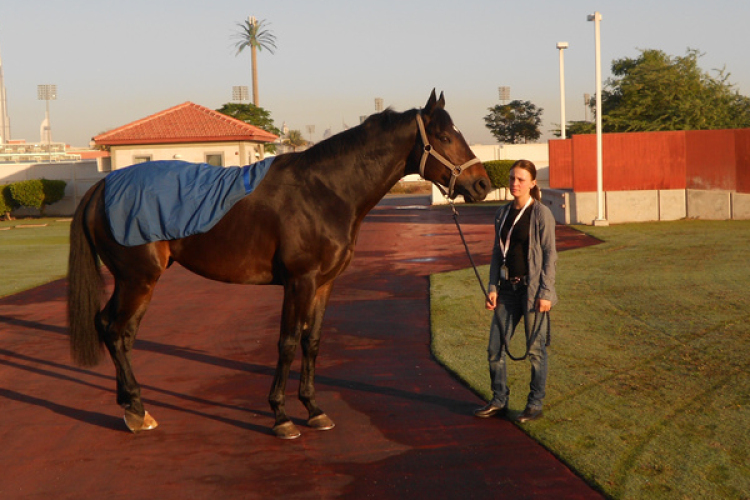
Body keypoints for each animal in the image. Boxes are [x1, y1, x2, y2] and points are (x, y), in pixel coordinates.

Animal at [67, 90, 494, 438]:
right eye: (444, 137)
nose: (482, 185)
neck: (325, 191)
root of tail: (102, 186)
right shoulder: (299, 281)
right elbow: (287, 343)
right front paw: (281, 416)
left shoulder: (324, 284)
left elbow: (312, 342)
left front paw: (314, 409)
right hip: (138, 279)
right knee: (115, 331)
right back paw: (135, 410)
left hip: (135, 281)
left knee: (115, 330)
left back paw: (133, 406)